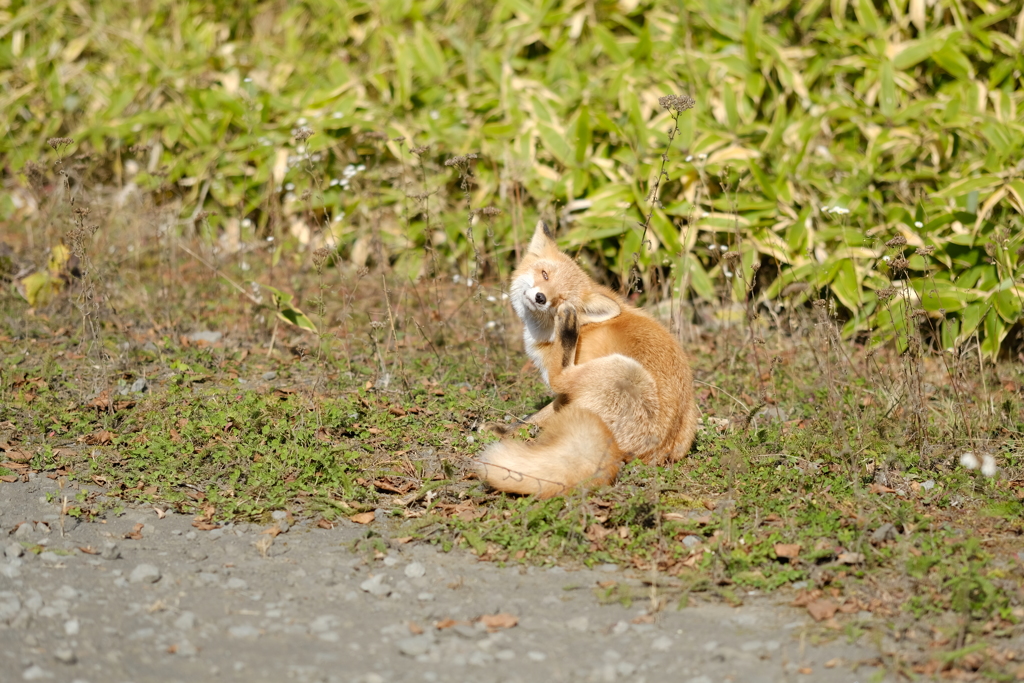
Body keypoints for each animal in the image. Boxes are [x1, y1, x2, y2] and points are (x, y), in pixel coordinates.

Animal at [475, 222, 700, 499]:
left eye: (561, 298)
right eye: (544, 274)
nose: (541, 298)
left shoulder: (568, 392)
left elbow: (540, 412)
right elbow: (534, 418)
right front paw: (505, 430)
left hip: (623, 370)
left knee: (558, 378)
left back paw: (568, 330)